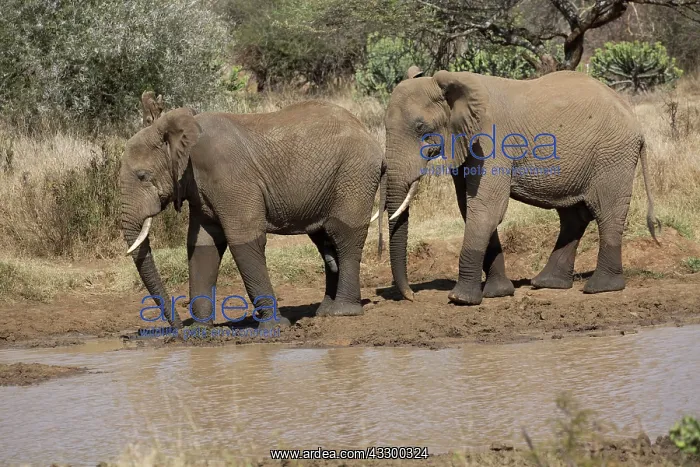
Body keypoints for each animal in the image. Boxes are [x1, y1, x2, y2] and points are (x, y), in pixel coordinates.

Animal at [121, 101, 386, 329]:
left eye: (142, 176)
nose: (176, 327)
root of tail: (371, 138)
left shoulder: (229, 177)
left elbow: (243, 239)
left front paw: (275, 327)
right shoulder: (200, 190)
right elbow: (203, 246)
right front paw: (198, 331)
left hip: (355, 174)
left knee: (344, 235)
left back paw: (342, 312)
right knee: (324, 241)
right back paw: (325, 311)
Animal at [378, 69, 660, 306]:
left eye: (420, 127)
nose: (412, 296)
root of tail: (635, 121)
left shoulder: (490, 142)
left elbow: (487, 209)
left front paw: (461, 299)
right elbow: (470, 208)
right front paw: (498, 293)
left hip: (612, 154)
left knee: (607, 211)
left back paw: (600, 287)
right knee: (573, 216)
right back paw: (548, 283)